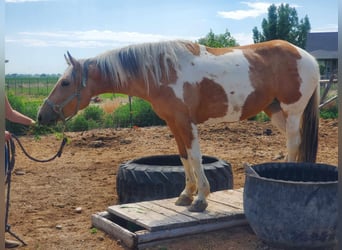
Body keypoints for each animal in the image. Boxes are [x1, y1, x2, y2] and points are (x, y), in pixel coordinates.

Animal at [38, 40, 320, 212]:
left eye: (65, 83)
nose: (41, 116)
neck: (162, 72)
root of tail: (308, 57)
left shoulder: (186, 122)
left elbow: (195, 157)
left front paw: (201, 198)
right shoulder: (173, 123)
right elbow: (183, 157)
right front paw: (186, 194)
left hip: (292, 110)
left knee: (293, 143)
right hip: (275, 110)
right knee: (295, 143)